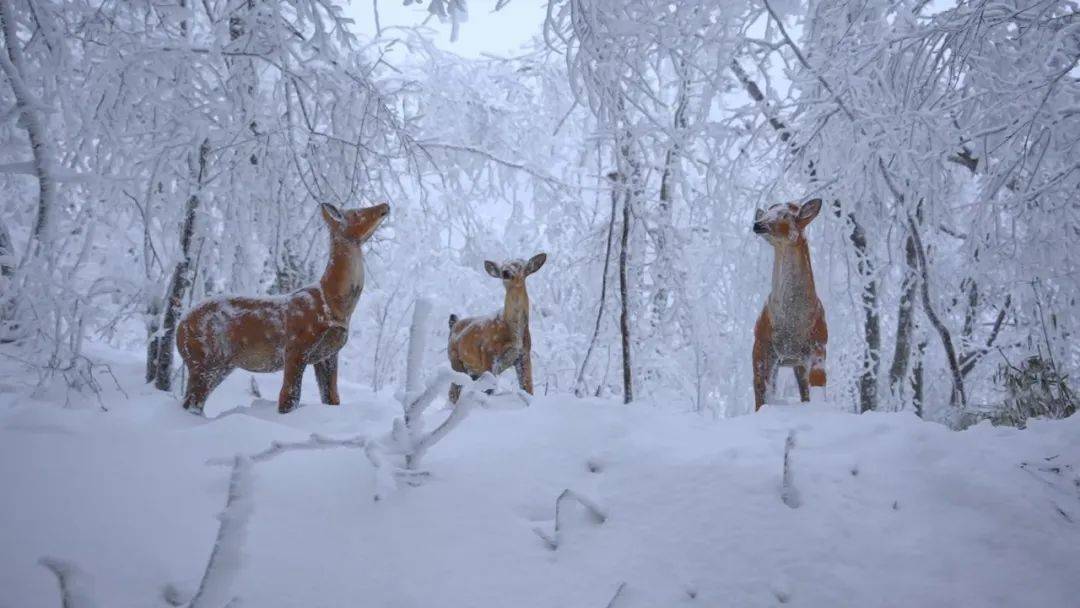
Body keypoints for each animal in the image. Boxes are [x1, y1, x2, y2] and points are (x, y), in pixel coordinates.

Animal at [177, 201, 393, 416]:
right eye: (356, 212)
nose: (385, 204)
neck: (335, 305)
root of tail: (179, 328)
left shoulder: (329, 353)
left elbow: (332, 397)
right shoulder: (296, 345)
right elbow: (289, 397)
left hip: (220, 365)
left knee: (194, 402)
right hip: (202, 358)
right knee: (191, 402)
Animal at [447, 254, 548, 406]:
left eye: (519, 265)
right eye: (502, 267)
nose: (506, 272)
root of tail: (454, 323)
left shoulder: (524, 354)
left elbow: (528, 389)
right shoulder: (488, 354)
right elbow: (489, 390)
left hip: (473, 370)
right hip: (456, 362)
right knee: (453, 393)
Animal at [751, 199, 825, 414]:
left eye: (785, 215)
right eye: (768, 212)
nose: (758, 223)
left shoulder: (819, 342)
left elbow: (818, 383)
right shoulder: (763, 343)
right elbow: (763, 389)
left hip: (798, 362)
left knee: (804, 390)